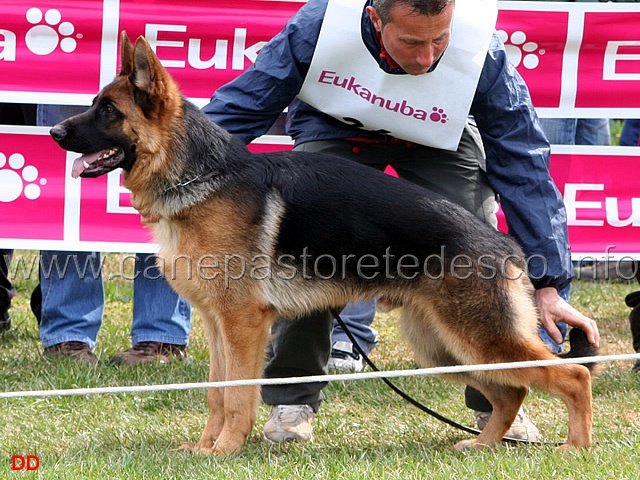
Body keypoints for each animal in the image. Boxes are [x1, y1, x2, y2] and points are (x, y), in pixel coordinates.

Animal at [50, 32, 596, 454]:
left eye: (107, 110)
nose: (53, 131)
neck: (200, 176)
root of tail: (507, 246)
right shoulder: (217, 324)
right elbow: (215, 392)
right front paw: (205, 448)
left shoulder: (243, 325)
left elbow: (237, 395)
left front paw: (225, 451)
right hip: (445, 348)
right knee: (510, 393)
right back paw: (482, 445)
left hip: (478, 339)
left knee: (572, 377)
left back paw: (575, 449)